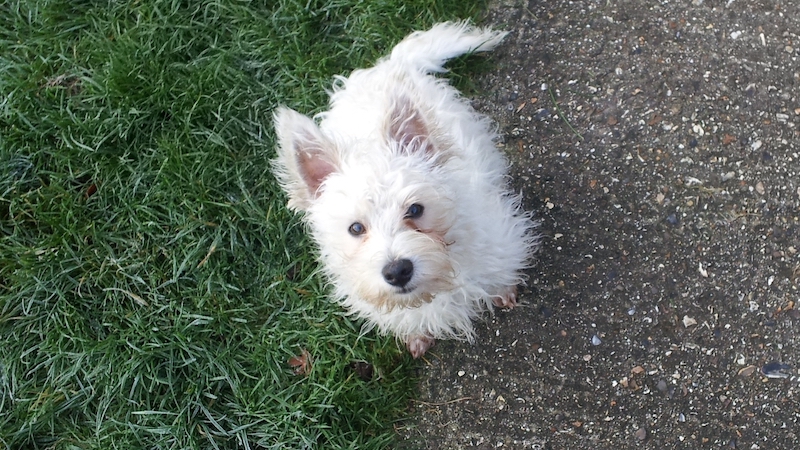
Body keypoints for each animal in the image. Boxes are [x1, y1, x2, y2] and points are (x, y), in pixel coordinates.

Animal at [272, 22, 540, 358]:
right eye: (355, 228)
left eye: (415, 209)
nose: (397, 271)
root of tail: (388, 66)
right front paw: (417, 335)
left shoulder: (499, 237)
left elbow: (501, 271)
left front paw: (504, 290)